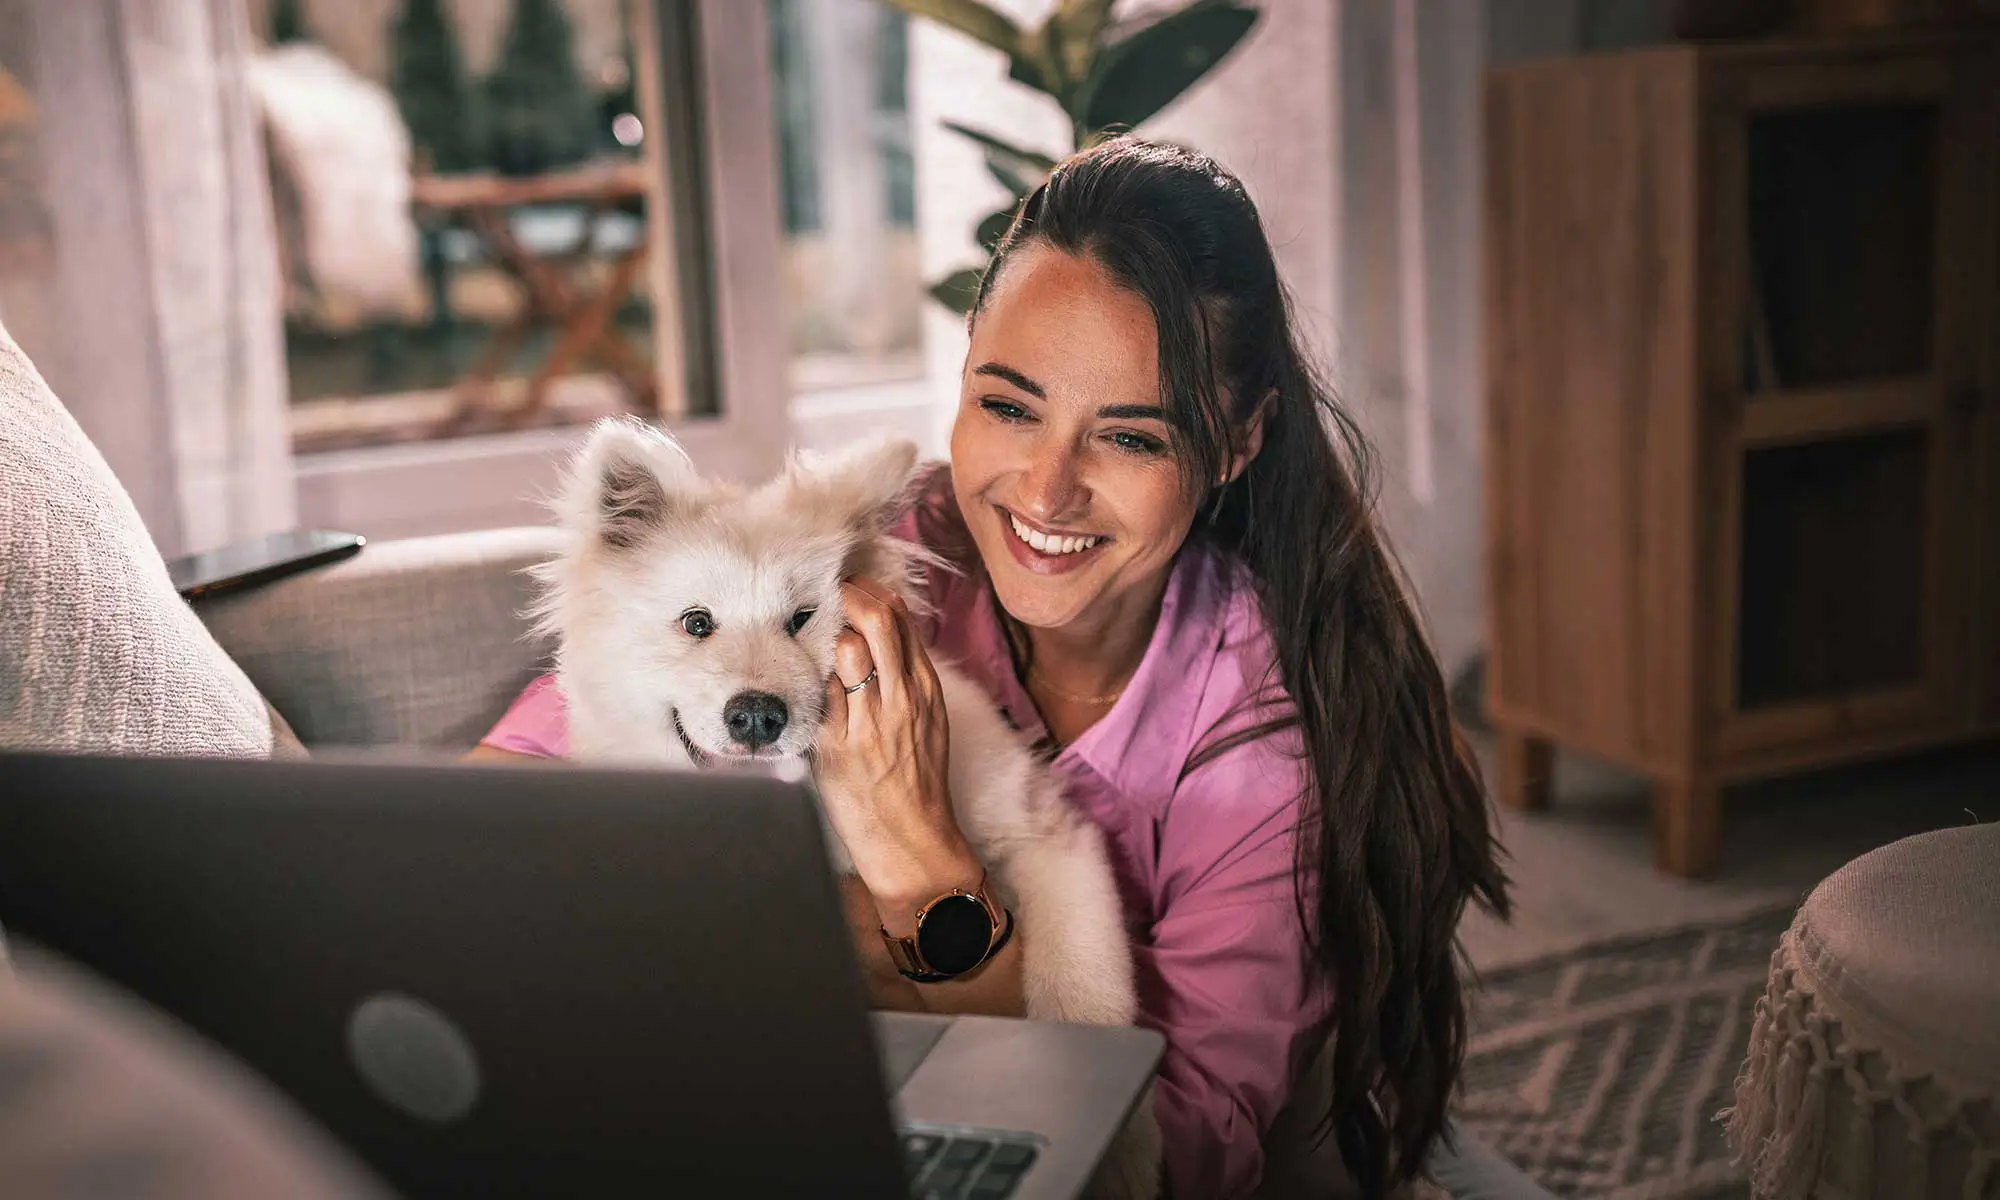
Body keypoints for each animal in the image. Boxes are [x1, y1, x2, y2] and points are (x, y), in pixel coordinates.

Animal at [532, 418, 1160, 1192]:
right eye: (697, 623)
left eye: (802, 618)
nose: (757, 716)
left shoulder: (1049, 834)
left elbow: (1081, 995)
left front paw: (1125, 1149)